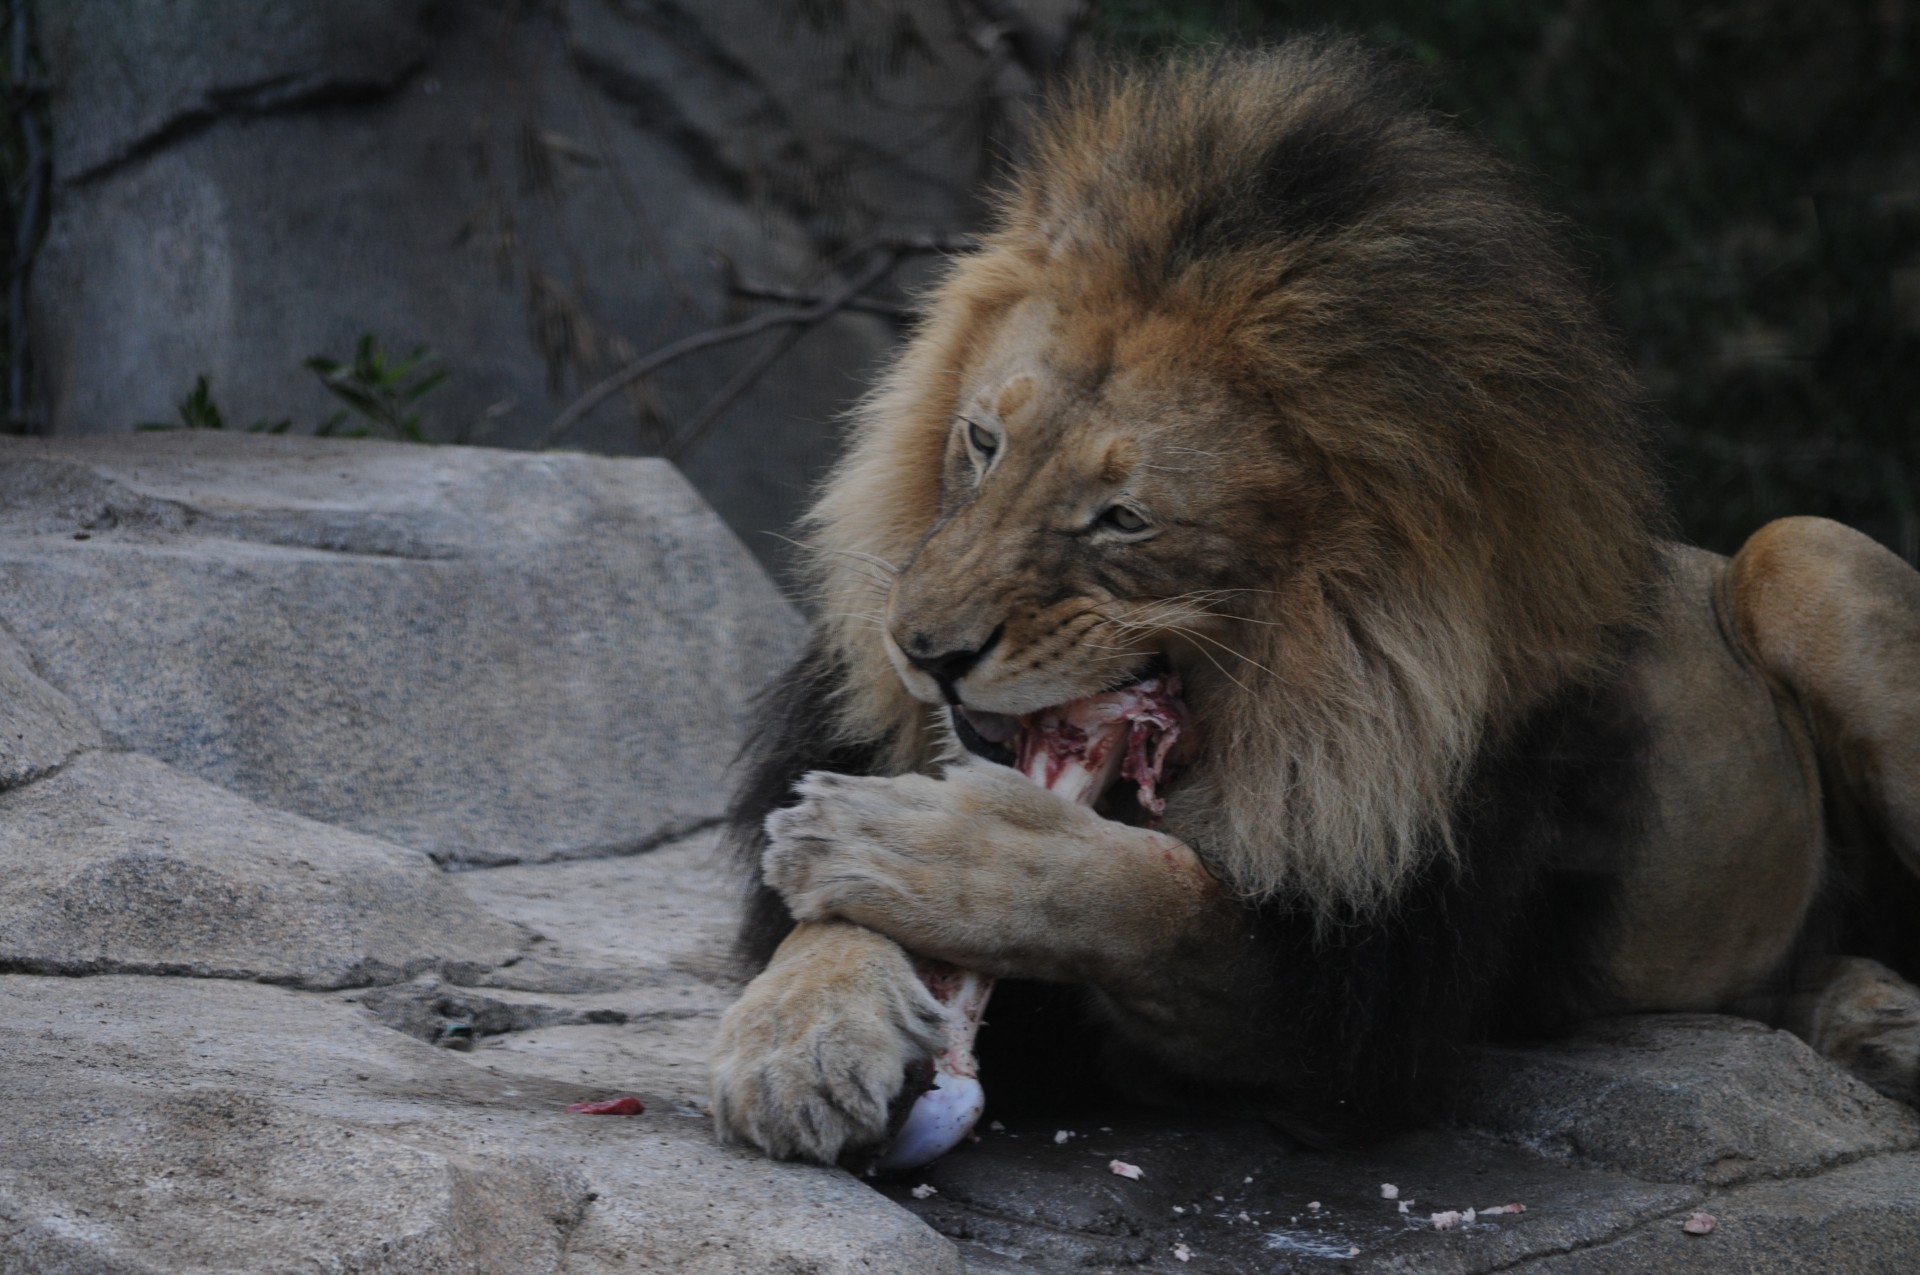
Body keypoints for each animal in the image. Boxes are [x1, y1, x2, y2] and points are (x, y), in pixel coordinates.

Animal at [702, 39, 1920, 1159]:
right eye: (982, 442)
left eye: (1123, 518)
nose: (922, 649)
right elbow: (824, 925)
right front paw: (800, 1030)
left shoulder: (1361, 1022)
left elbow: (1165, 902)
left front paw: (922, 848)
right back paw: (1864, 1017)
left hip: (1807, 553)